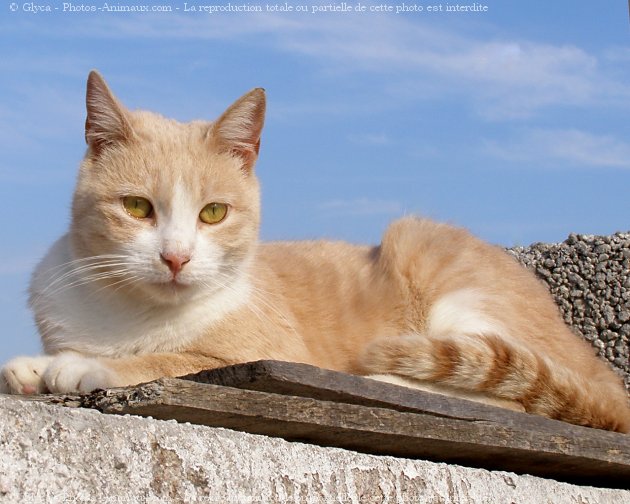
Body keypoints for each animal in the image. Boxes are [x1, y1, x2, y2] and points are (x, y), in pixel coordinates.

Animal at [1, 71, 630, 434]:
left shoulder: (264, 351)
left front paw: (79, 366)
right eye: (136, 207)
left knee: (509, 400)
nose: (176, 258)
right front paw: (31, 369)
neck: (131, 311)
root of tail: (595, 366)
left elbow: (173, 359)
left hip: (427, 255)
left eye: (213, 213)